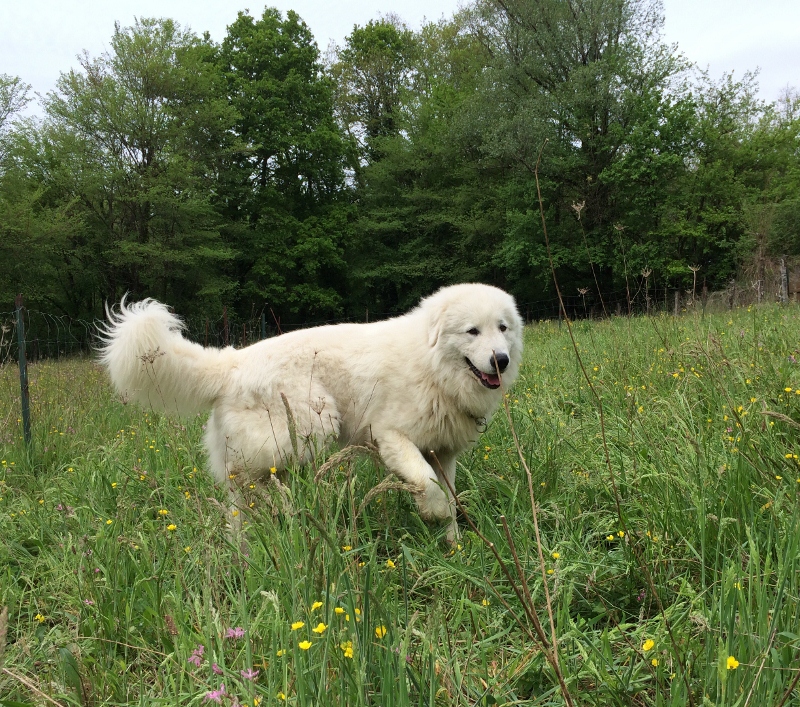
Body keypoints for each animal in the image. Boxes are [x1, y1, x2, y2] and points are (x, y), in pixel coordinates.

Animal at [99, 284, 523, 540]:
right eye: (472, 331)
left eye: (503, 328)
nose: (500, 360)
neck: (432, 362)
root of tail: (232, 364)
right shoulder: (392, 437)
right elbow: (428, 484)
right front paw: (430, 511)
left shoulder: (442, 453)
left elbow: (451, 500)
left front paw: (453, 545)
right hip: (310, 428)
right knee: (250, 484)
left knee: (242, 501)